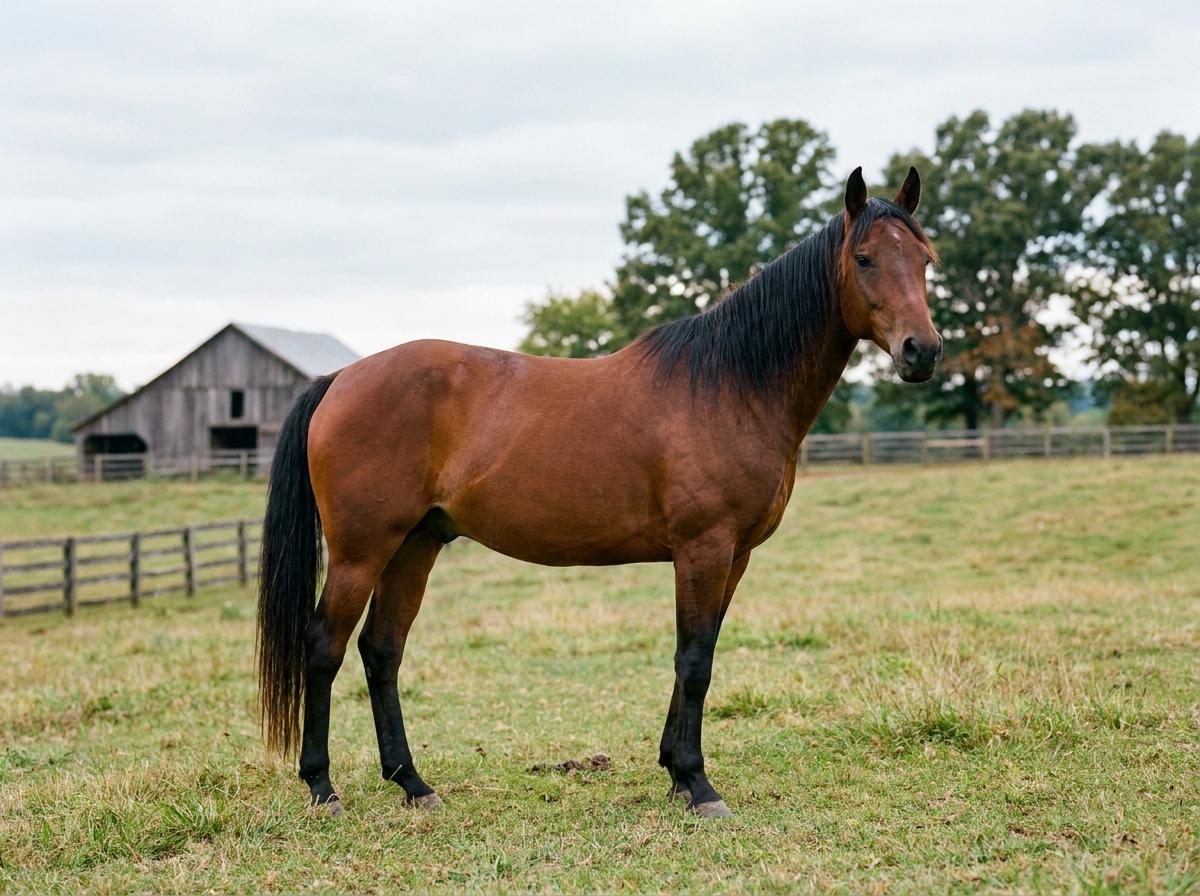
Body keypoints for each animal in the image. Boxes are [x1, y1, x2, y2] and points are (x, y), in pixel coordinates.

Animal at [257, 166, 942, 819]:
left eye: (925, 259)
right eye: (864, 259)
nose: (923, 351)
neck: (730, 385)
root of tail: (341, 377)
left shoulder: (736, 556)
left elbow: (697, 655)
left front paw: (675, 774)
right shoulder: (704, 548)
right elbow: (694, 660)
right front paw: (698, 784)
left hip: (415, 544)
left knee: (381, 651)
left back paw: (413, 784)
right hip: (362, 552)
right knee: (324, 648)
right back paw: (321, 786)